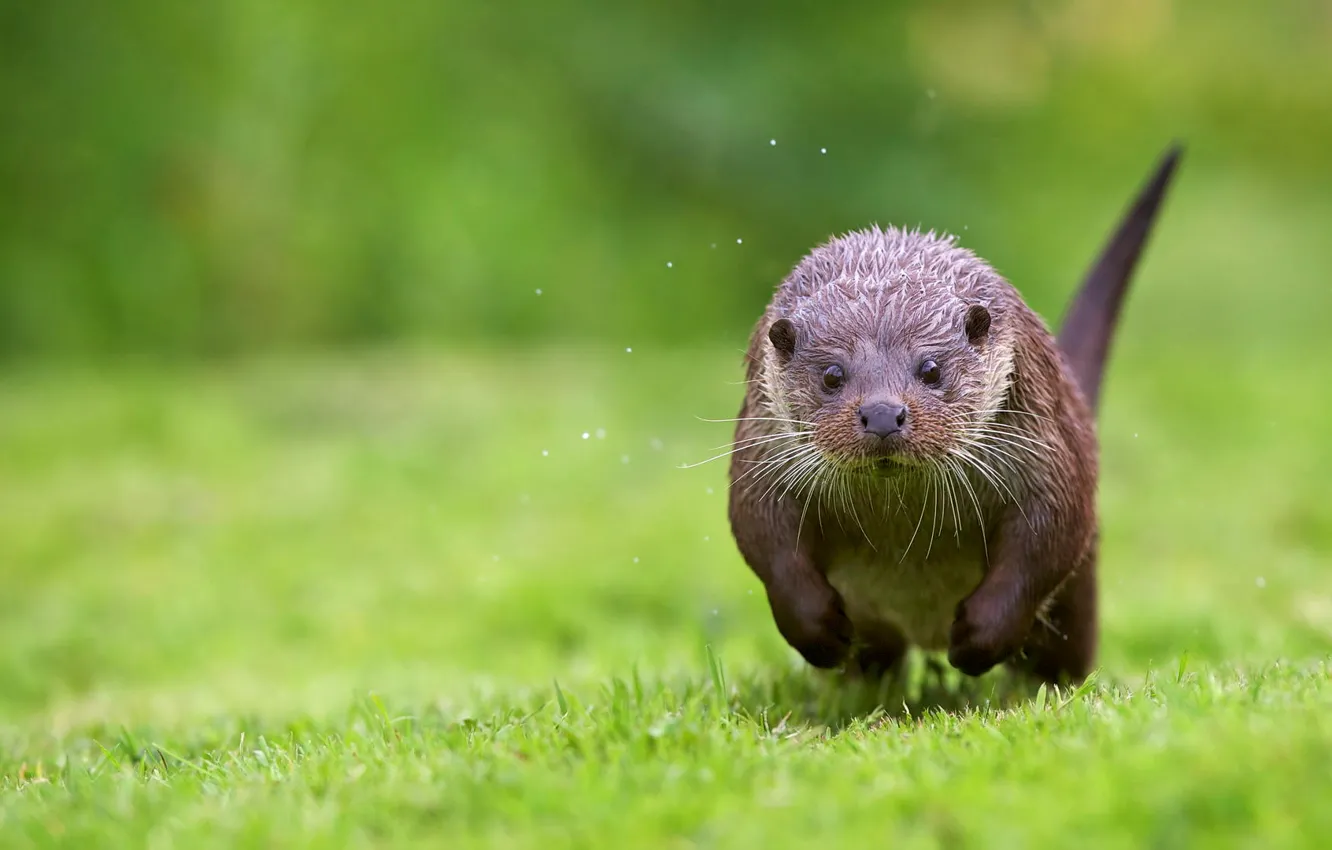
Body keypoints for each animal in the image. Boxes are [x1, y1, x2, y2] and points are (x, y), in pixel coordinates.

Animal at [726, 146, 1181, 684]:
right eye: (833, 375)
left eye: (931, 368)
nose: (883, 413)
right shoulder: (762, 455)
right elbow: (764, 537)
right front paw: (819, 632)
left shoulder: (1047, 458)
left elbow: (1046, 540)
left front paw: (979, 639)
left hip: (1081, 591)